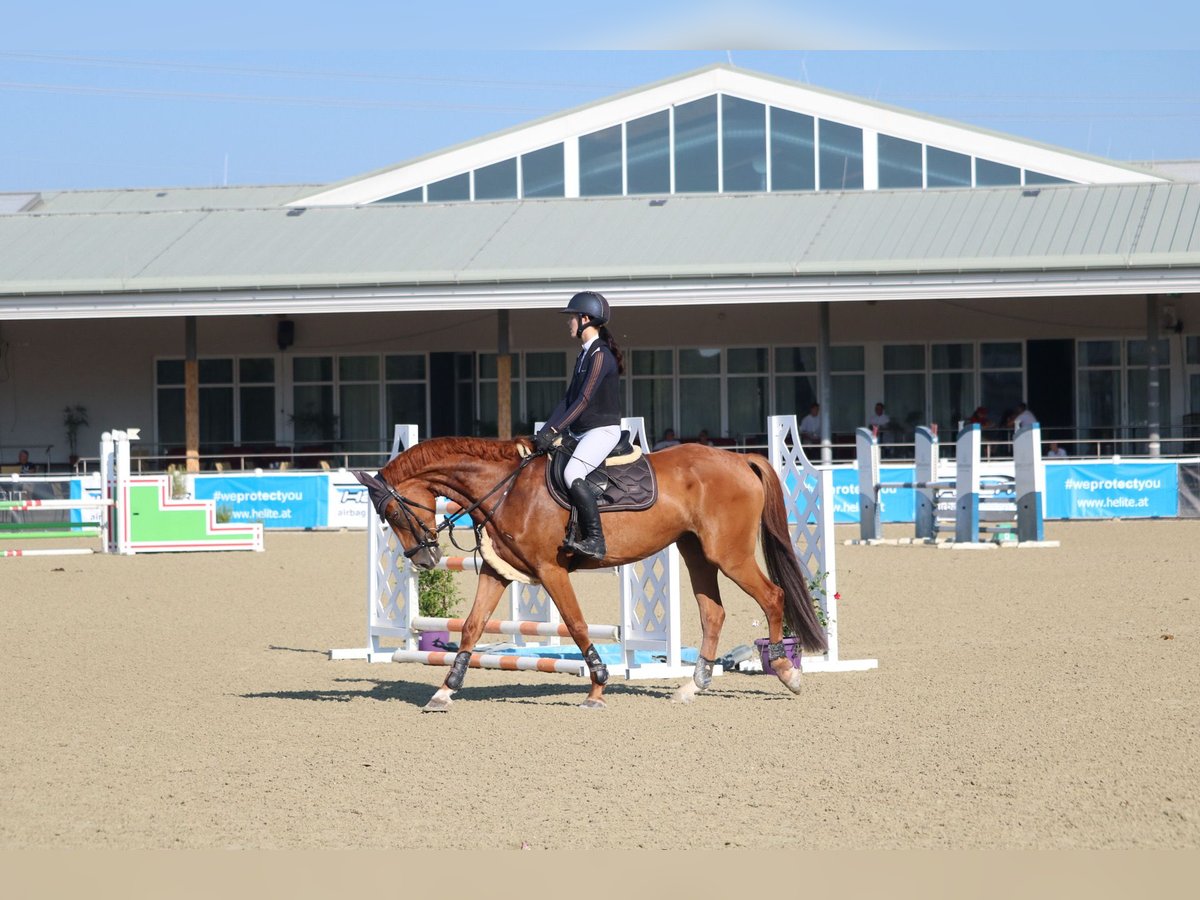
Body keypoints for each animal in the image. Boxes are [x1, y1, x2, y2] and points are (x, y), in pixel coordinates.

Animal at [355, 439, 825, 710]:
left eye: (392, 512)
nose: (424, 560)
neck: (506, 487)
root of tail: (740, 459)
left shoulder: (550, 571)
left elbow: (578, 626)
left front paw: (597, 689)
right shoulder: (497, 570)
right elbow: (471, 626)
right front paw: (445, 690)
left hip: (729, 554)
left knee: (772, 596)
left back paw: (786, 671)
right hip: (696, 552)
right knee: (713, 612)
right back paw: (694, 686)